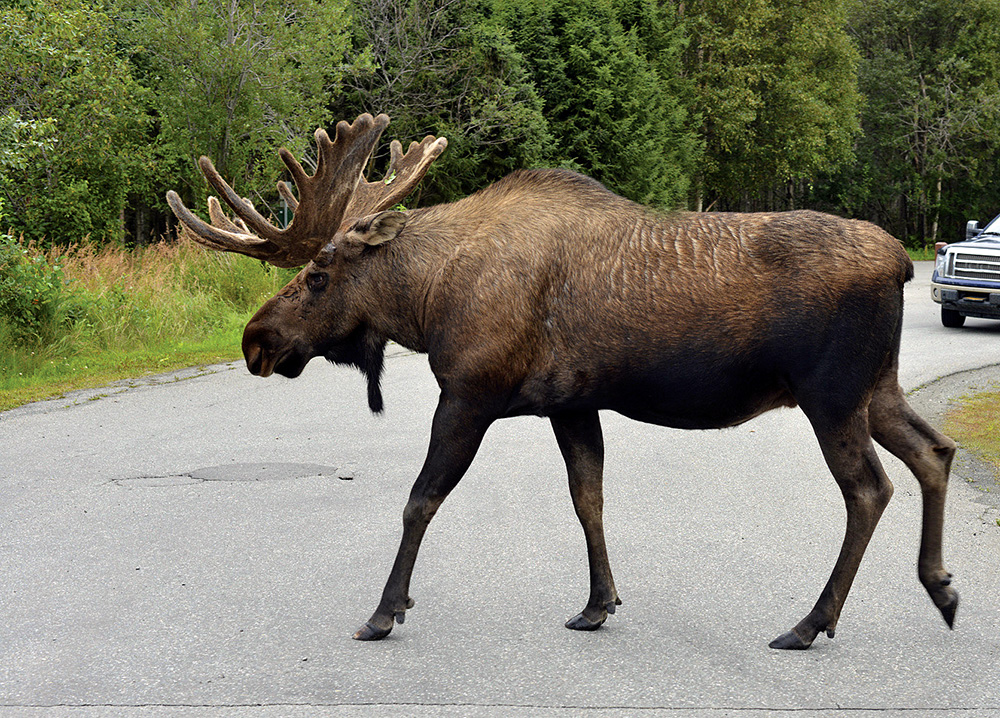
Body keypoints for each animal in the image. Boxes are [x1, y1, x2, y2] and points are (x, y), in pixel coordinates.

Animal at [168, 114, 956, 652]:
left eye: (319, 274)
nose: (256, 340)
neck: (426, 300)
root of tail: (901, 261)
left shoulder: (471, 392)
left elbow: (419, 501)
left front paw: (385, 611)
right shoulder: (571, 404)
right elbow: (588, 499)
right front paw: (598, 603)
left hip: (830, 394)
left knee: (870, 488)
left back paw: (811, 621)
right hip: (877, 388)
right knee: (934, 452)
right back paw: (941, 588)